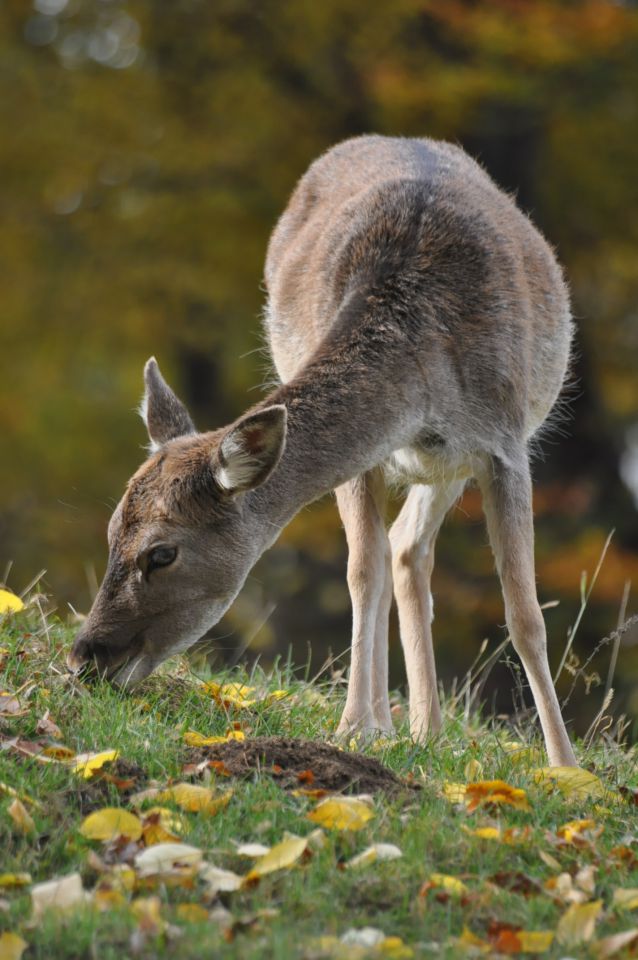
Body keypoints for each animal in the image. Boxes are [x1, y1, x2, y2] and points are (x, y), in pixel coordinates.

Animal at [69, 135, 580, 764]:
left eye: (161, 553)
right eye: (111, 531)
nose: (85, 658)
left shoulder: (505, 446)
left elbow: (525, 613)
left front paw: (565, 765)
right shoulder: (369, 460)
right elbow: (362, 571)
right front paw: (356, 728)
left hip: (454, 464)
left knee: (408, 547)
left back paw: (425, 728)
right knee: (398, 550)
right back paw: (415, 728)